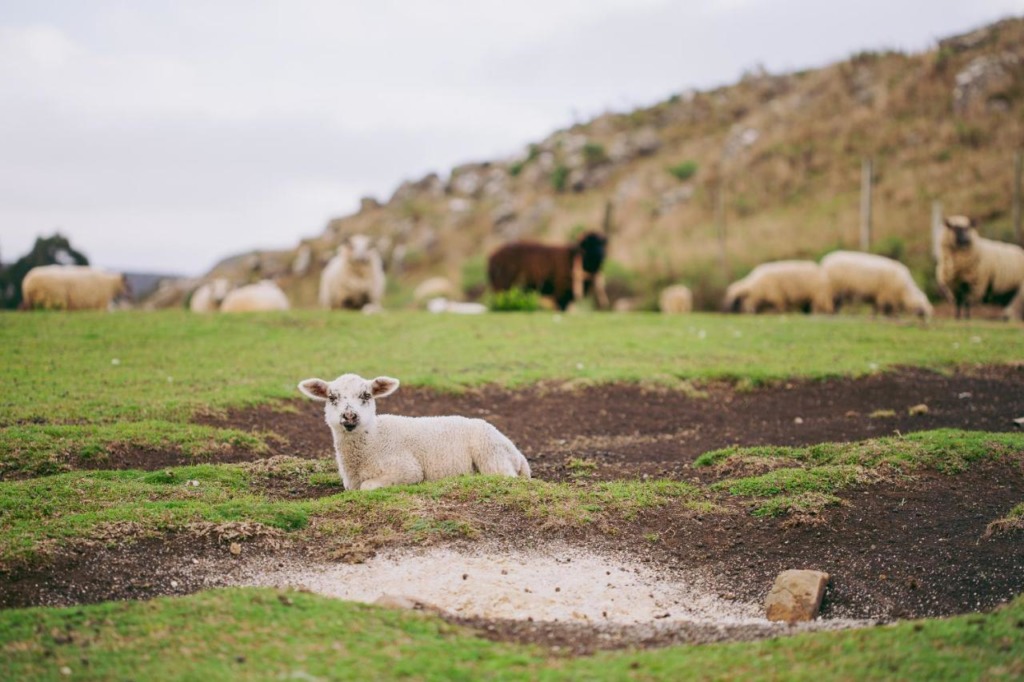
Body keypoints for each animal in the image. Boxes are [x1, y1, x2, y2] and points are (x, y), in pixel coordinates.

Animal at [296, 372, 532, 489]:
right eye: (331, 397)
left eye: (366, 395)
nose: (350, 416)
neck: (374, 439)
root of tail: (518, 455)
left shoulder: (407, 469)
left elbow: (367, 487)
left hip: (491, 455)